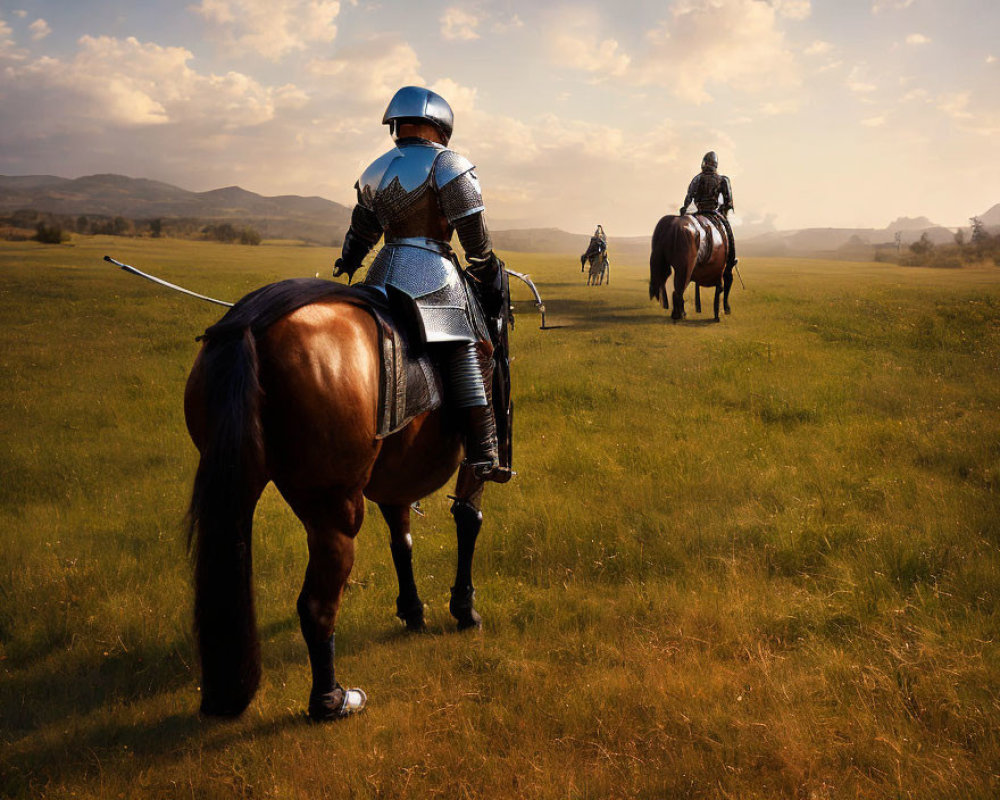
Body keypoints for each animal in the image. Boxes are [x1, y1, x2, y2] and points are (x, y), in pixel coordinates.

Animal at [183, 280, 500, 720]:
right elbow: (468, 517)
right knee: (317, 603)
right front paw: (464, 609)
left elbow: (401, 541)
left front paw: (413, 609)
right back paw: (333, 699)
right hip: (334, 508)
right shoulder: (474, 454)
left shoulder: (394, 479)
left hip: (236, 479)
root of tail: (249, 328)